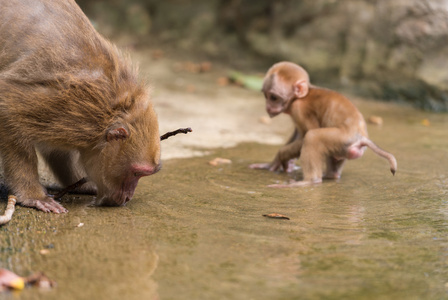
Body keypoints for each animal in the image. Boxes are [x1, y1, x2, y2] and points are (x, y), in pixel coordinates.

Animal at [250, 61, 398, 186]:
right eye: (266, 96)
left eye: (274, 98)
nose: (268, 107)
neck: (302, 96)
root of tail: (360, 138)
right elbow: (297, 134)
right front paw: (276, 162)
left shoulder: (299, 109)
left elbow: (305, 135)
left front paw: (281, 156)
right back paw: (331, 175)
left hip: (341, 138)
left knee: (312, 136)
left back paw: (310, 181)